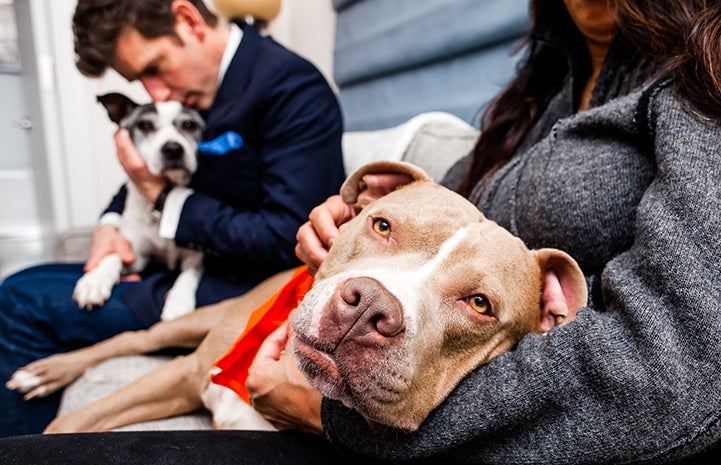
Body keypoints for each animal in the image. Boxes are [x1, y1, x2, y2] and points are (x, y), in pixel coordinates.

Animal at [9, 160, 584, 432]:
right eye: (382, 225)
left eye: (480, 304)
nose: (368, 308)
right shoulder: (185, 375)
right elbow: (71, 421)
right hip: (196, 324)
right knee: (134, 338)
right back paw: (48, 370)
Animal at [74, 92, 205, 320]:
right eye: (145, 125)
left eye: (189, 124)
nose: (173, 149)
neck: (160, 212)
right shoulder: (138, 257)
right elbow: (113, 255)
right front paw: (95, 280)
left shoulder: (194, 256)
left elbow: (188, 276)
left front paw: (179, 303)